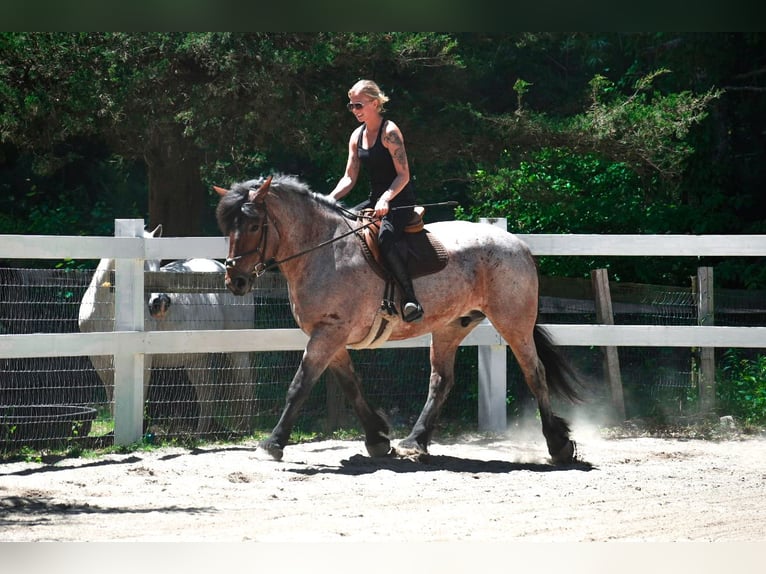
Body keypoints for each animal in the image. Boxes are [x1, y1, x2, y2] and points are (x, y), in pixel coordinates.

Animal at [216, 173, 584, 466]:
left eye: (253, 225)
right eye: (227, 228)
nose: (235, 281)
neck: (323, 249)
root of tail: (518, 245)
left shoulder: (330, 332)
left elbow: (299, 385)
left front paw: (272, 444)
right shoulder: (330, 335)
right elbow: (350, 384)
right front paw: (378, 438)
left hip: (513, 322)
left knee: (535, 373)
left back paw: (558, 445)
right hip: (451, 326)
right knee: (441, 380)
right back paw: (414, 441)